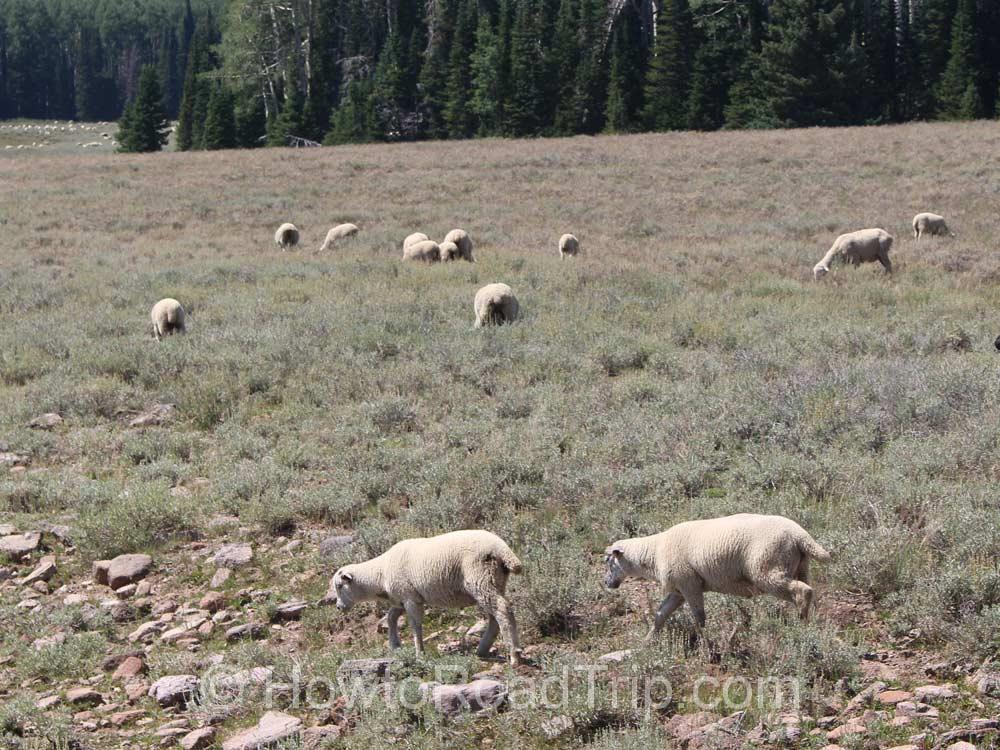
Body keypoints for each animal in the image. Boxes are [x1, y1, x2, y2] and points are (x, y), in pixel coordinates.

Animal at [322, 532, 528, 668]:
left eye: (339, 586)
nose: (339, 607)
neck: (380, 573)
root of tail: (502, 549)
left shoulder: (410, 598)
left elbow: (415, 625)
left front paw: (419, 652)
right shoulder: (403, 598)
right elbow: (391, 617)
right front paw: (395, 645)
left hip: (480, 577)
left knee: (502, 610)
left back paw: (513, 654)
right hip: (493, 580)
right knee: (495, 615)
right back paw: (483, 649)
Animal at [604, 516, 832, 644]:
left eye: (608, 561)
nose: (607, 583)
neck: (653, 551)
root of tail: (800, 535)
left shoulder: (689, 583)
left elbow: (699, 616)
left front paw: (703, 640)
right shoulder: (679, 589)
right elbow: (660, 615)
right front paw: (647, 641)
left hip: (767, 568)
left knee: (802, 591)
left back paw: (801, 623)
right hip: (799, 565)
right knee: (809, 589)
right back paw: (811, 622)